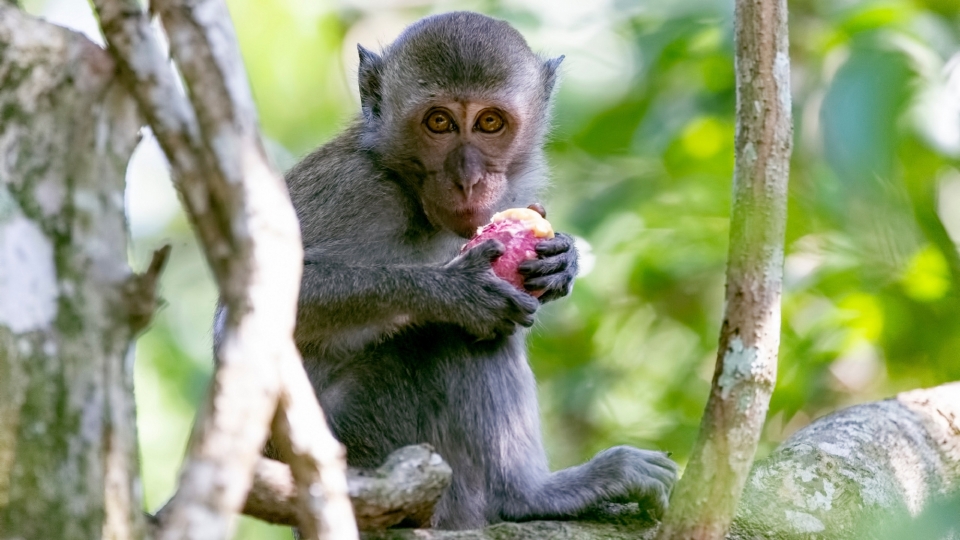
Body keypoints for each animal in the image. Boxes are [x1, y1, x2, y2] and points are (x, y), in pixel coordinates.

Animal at [221, 10, 680, 528]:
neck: (407, 187)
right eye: (439, 122)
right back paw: (527, 495)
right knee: (458, 339)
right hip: (369, 442)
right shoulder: (355, 191)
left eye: (489, 122)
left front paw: (564, 261)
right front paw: (457, 291)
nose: (468, 179)